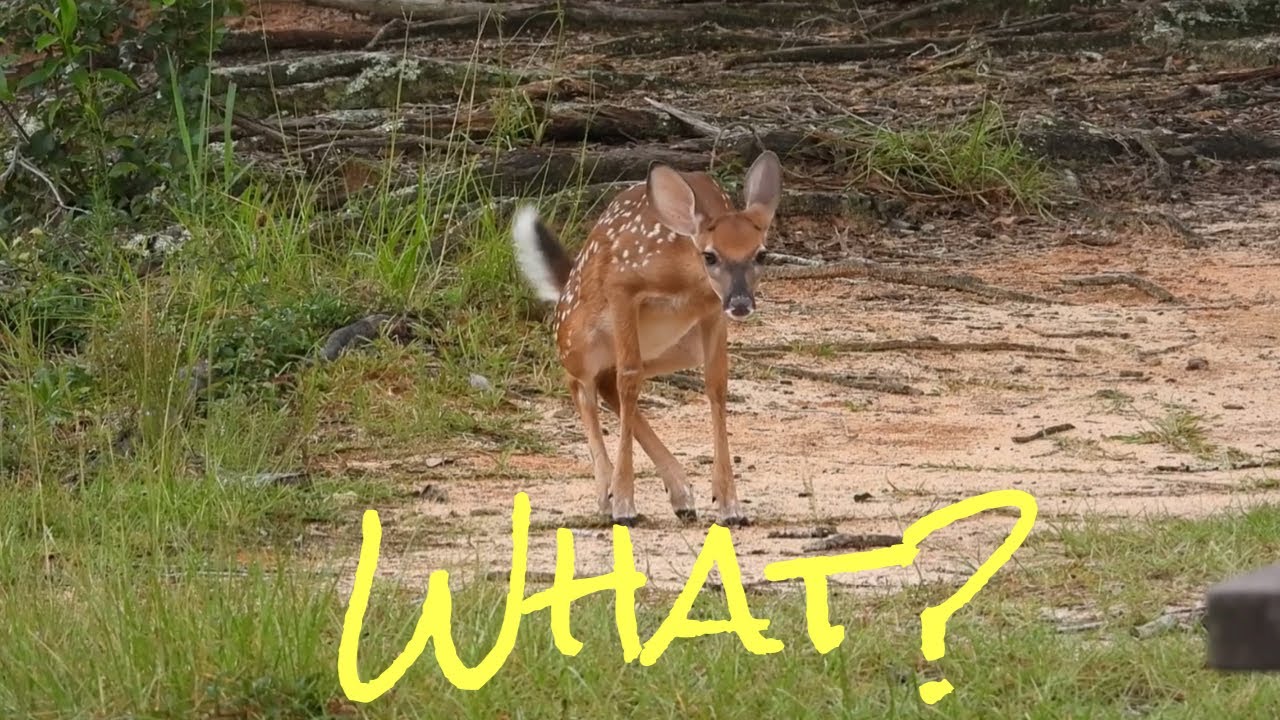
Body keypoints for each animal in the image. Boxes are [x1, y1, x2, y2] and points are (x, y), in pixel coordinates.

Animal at [510, 151, 783, 527]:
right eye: (710, 255)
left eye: (761, 254)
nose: (741, 302)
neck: (683, 280)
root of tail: (563, 289)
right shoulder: (622, 287)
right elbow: (629, 381)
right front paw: (624, 503)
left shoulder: (713, 312)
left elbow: (716, 386)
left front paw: (730, 505)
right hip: (578, 340)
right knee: (582, 385)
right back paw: (607, 495)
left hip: (681, 347)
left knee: (606, 383)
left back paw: (681, 496)